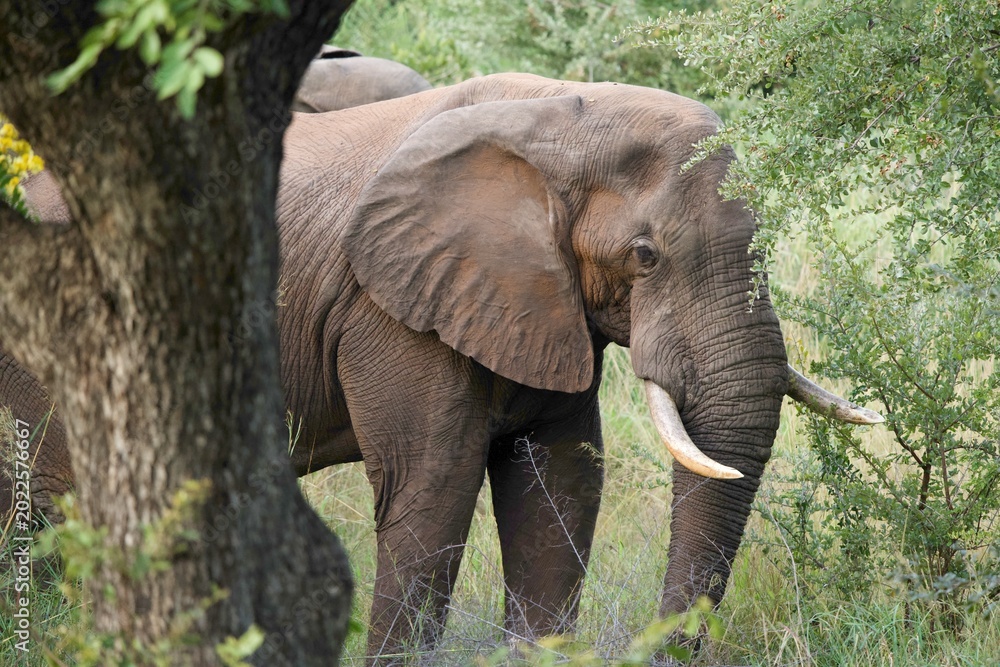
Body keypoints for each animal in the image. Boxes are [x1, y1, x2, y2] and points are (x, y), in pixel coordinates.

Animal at [2, 73, 883, 662]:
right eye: (646, 256)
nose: (657, 646)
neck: (563, 117)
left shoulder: (536, 302)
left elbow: (561, 481)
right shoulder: (392, 310)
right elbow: (433, 485)